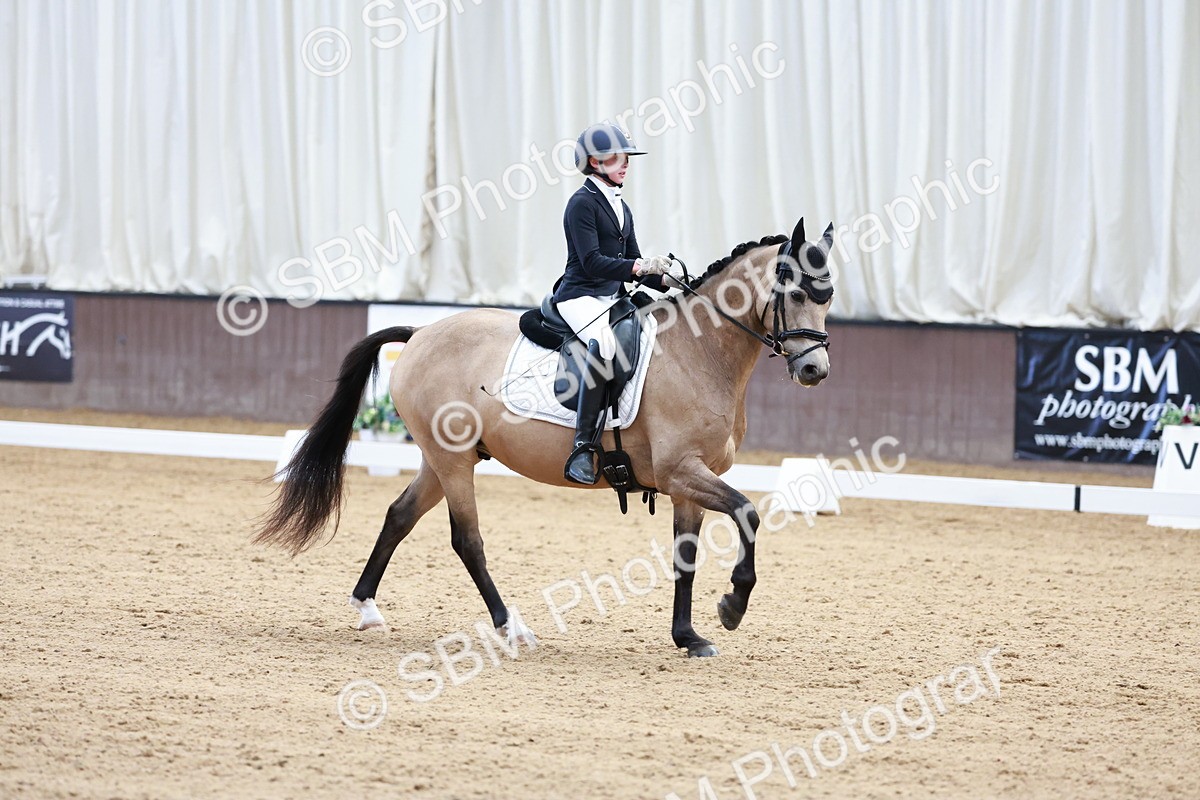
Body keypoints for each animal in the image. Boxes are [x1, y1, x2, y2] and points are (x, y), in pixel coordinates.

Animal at [255, 218, 835, 657]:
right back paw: (511, 627)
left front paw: (689, 637)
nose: (815, 371)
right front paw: (732, 607)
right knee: (467, 540)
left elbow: (684, 557)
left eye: (828, 297)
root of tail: (419, 333)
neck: (700, 353)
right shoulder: (681, 472)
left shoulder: (689, 480)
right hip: (453, 461)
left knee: (399, 515)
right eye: (797, 292)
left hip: (442, 459)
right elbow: (748, 512)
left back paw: (367, 608)